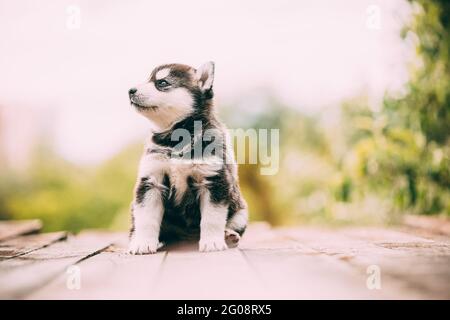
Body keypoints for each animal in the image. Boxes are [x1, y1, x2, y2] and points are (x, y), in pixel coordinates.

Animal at [126, 61, 248, 254]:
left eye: (162, 83)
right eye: (147, 79)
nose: (130, 90)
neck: (176, 137)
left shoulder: (214, 179)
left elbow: (212, 218)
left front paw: (212, 242)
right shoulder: (151, 180)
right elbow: (146, 218)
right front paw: (142, 243)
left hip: (241, 211)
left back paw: (228, 236)